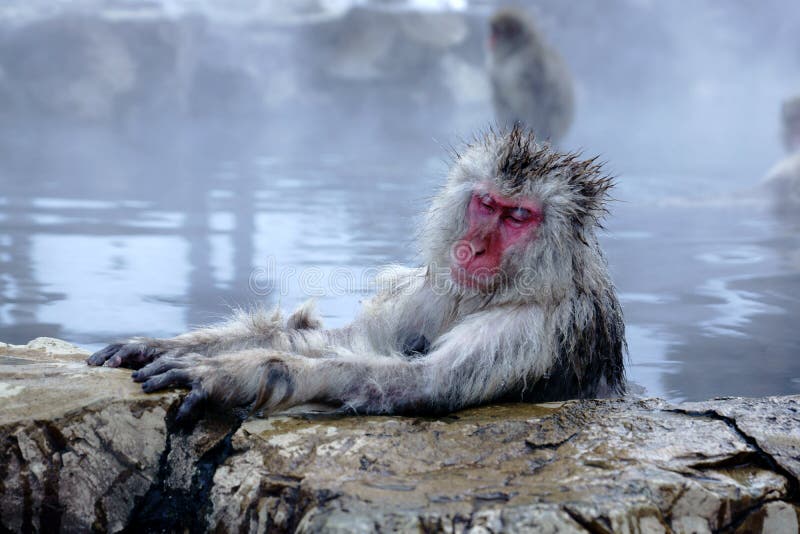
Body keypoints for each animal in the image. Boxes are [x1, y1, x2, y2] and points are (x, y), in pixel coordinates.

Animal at [87, 125, 626, 421]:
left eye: (518, 217)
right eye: (487, 204)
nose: (472, 249)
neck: (492, 293)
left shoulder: (534, 328)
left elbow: (420, 386)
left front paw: (237, 375)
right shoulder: (431, 290)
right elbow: (346, 340)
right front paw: (162, 346)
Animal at [487, 8, 575, 144]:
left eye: (498, 32)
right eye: (493, 31)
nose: (490, 40)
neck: (513, 53)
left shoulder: (533, 63)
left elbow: (541, 96)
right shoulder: (495, 71)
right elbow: (502, 100)